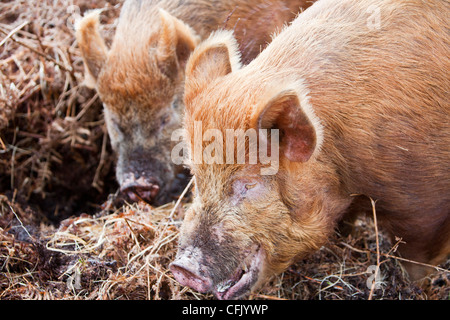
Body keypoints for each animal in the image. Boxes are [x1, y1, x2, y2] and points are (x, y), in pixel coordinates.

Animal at [171, 0, 448, 300]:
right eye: (195, 175)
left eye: (249, 184)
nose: (182, 269)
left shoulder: (423, 205)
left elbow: (416, 261)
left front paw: (414, 286)